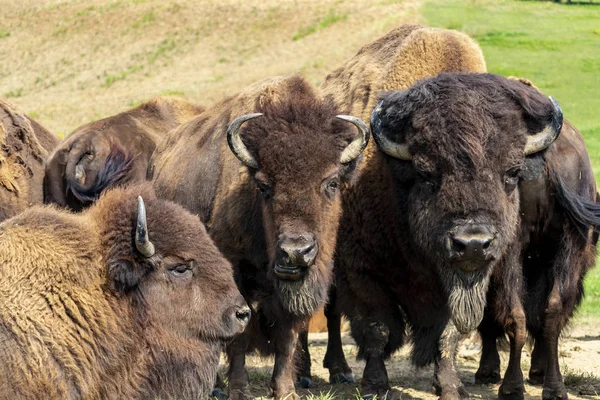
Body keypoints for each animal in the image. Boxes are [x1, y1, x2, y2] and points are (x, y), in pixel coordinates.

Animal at [148, 76, 368, 400]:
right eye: (263, 186)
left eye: (331, 182)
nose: (295, 251)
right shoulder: (235, 277)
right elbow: (238, 333)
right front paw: (239, 389)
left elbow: (288, 337)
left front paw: (285, 390)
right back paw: (215, 387)